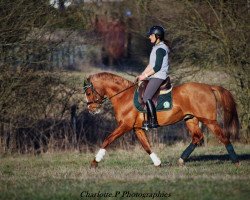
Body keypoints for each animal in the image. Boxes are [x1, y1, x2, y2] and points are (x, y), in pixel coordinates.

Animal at [83, 72, 240, 167]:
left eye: (89, 92)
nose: (91, 109)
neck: (124, 96)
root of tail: (209, 87)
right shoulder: (137, 128)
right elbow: (146, 146)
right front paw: (157, 162)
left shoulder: (125, 125)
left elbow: (107, 140)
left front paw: (95, 161)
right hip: (191, 119)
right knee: (197, 137)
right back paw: (181, 160)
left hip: (209, 121)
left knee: (223, 137)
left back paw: (236, 161)